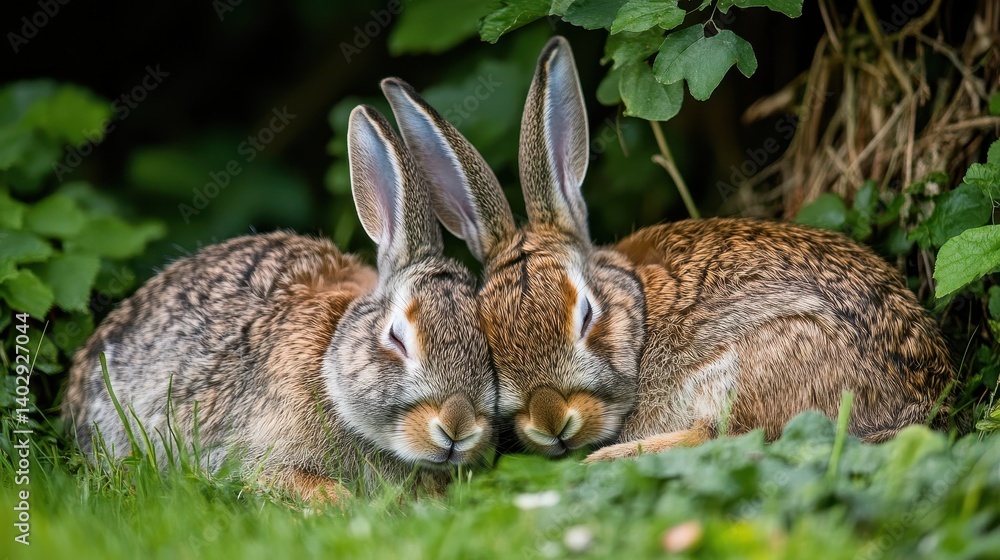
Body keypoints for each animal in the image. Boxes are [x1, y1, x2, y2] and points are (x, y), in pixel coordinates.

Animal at [379, 36, 956, 464]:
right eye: (489, 339)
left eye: (587, 315)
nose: (551, 421)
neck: (637, 306)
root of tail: (919, 400)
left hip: (763, 360)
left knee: (737, 438)